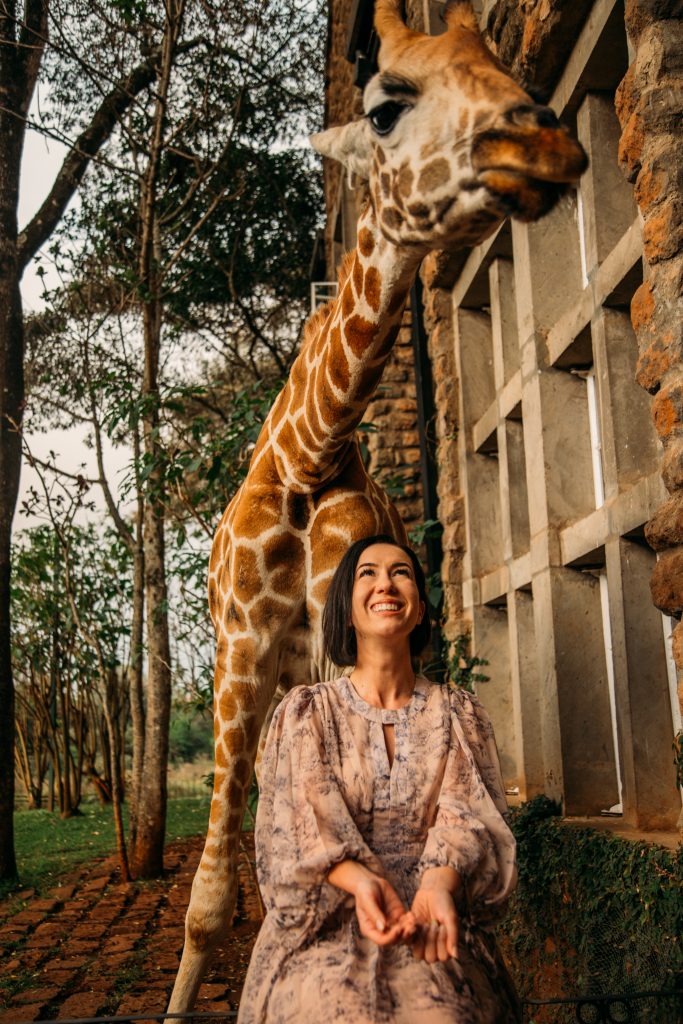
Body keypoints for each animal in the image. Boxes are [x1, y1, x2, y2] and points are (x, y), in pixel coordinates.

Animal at [166, 0, 589, 1007]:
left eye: (502, 63)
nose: (542, 142)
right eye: (386, 105)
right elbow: (207, 901)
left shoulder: (332, 653)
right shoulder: (238, 655)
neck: (305, 451)